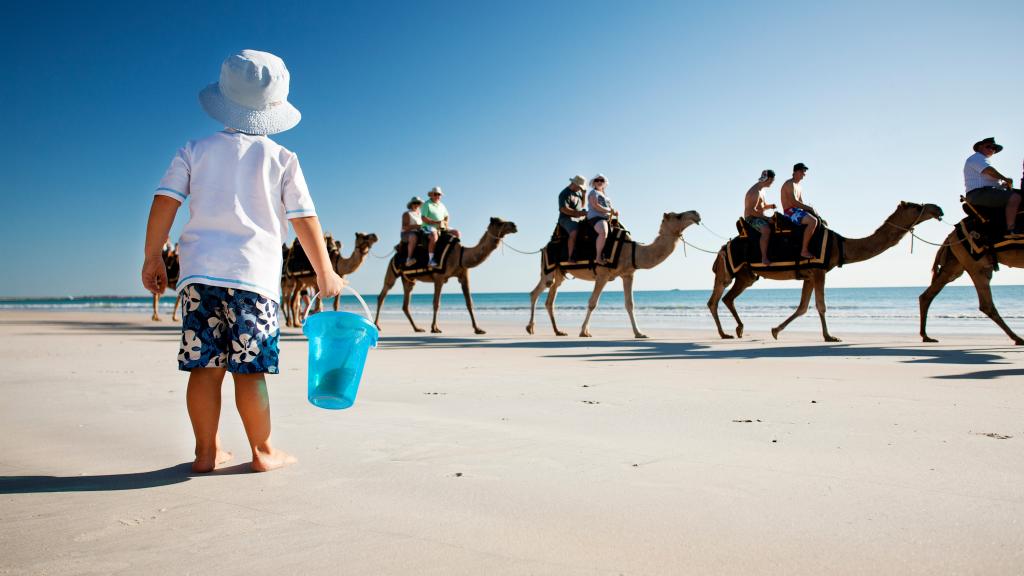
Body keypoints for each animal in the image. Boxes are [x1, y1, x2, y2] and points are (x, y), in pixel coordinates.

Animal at [374, 217, 518, 334]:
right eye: (499, 223)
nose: (514, 225)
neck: (461, 255)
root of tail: (395, 253)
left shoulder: (464, 275)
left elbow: (469, 303)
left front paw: (478, 329)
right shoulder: (439, 278)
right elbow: (436, 303)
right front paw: (435, 328)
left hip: (409, 279)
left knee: (405, 304)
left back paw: (417, 328)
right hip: (392, 270)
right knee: (383, 294)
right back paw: (377, 325)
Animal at [526, 211, 702, 338]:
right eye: (678, 216)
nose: (696, 213)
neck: (632, 250)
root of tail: (544, 247)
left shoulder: (628, 274)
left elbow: (630, 304)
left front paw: (639, 333)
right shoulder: (602, 275)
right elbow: (592, 303)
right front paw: (584, 332)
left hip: (560, 272)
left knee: (550, 300)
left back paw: (558, 331)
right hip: (548, 269)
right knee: (535, 292)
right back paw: (530, 328)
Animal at [708, 201, 944, 342]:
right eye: (917, 207)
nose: (937, 209)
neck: (839, 245)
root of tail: (723, 247)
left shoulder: (809, 274)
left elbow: (803, 307)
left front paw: (775, 331)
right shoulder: (819, 271)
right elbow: (821, 305)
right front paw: (830, 337)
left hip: (746, 275)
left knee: (728, 298)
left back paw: (738, 329)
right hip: (727, 269)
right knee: (715, 299)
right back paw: (724, 333)